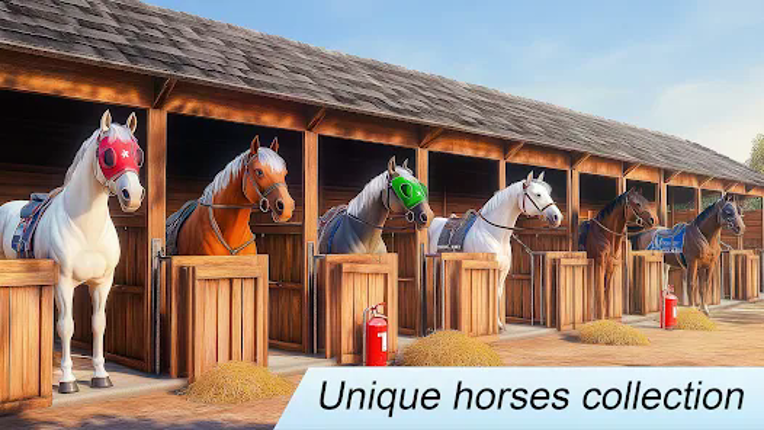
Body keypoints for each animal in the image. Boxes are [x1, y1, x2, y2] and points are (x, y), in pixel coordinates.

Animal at [0, 110, 145, 393]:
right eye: (108, 154)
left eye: (137, 154)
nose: (132, 196)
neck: (85, 226)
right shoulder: (64, 282)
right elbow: (66, 327)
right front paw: (67, 380)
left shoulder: (102, 283)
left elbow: (98, 324)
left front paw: (100, 375)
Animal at [428, 171, 563, 330]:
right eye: (538, 194)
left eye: (547, 193)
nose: (557, 217)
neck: (493, 234)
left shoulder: (502, 271)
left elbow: (496, 293)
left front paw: (498, 324)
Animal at [578, 188, 656, 320]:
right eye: (637, 204)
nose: (652, 220)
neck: (606, 235)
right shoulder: (600, 265)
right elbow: (600, 291)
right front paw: (601, 317)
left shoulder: (611, 268)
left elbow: (607, 292)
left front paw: (608, 317)